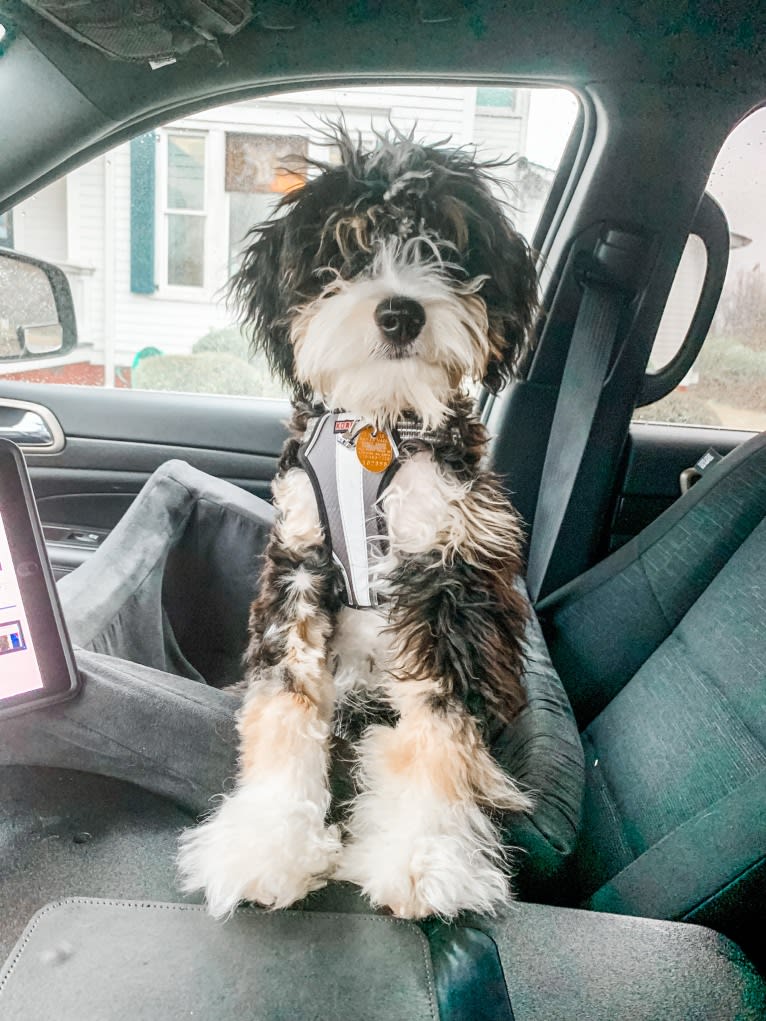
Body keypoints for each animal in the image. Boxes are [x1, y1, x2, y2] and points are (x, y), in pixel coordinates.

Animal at [179, 127, 539, 918]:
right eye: (345, 251)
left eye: (444, 246)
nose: (400, 312)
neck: (379, 421)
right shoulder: (298, 565)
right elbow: (284, 704)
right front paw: (268, 842)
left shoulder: (449, 576)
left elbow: (440, 725)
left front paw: (425, 855)